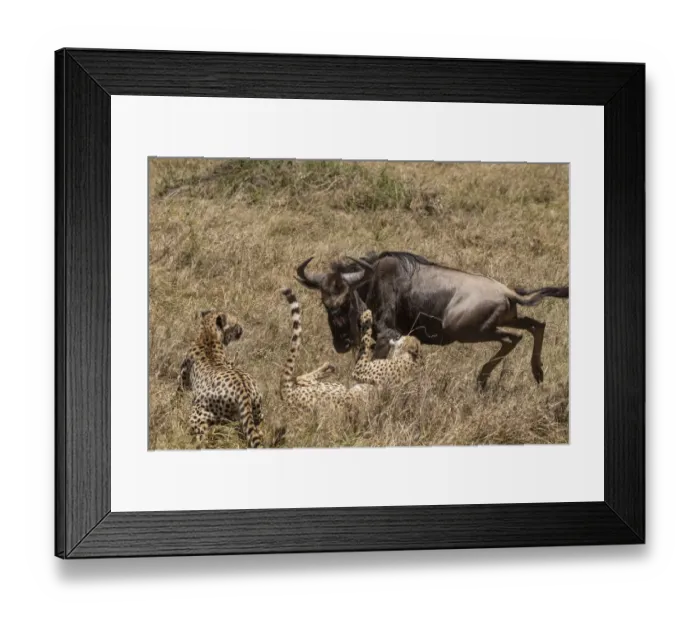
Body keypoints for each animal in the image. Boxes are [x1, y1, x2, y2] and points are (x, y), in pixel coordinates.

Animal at [177, 309, 263, 448]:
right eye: (235, 323)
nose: (241, 330)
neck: (209, 334)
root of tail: (243, 388)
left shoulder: (182, 380)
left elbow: (176, 397)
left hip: (199, 414)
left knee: (202, 438)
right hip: (255, 416)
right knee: (257, 432)